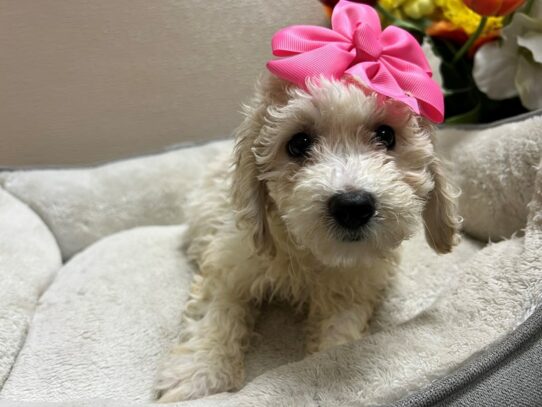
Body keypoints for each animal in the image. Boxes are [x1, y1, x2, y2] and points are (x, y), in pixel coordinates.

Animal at [155, 75, 462, 404]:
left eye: (385, 135)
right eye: (298, 143)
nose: (352, 206)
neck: (310, 254)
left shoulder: (352, 286)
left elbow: (339, 331)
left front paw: (329, 364)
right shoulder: (232, 260)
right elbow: (215, 312)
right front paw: (199, 375)